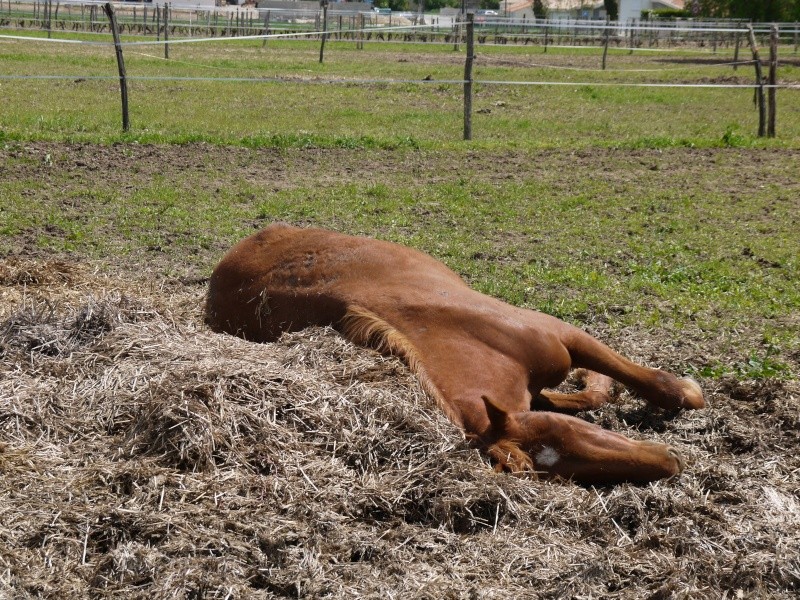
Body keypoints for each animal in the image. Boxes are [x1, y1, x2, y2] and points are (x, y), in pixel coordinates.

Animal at [208, 223, 708, 486]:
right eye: (565, 469)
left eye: (569, 434)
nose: (670, 462)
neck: (471, 338)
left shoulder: (561, 333)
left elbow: (644, 381)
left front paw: (686, 392)